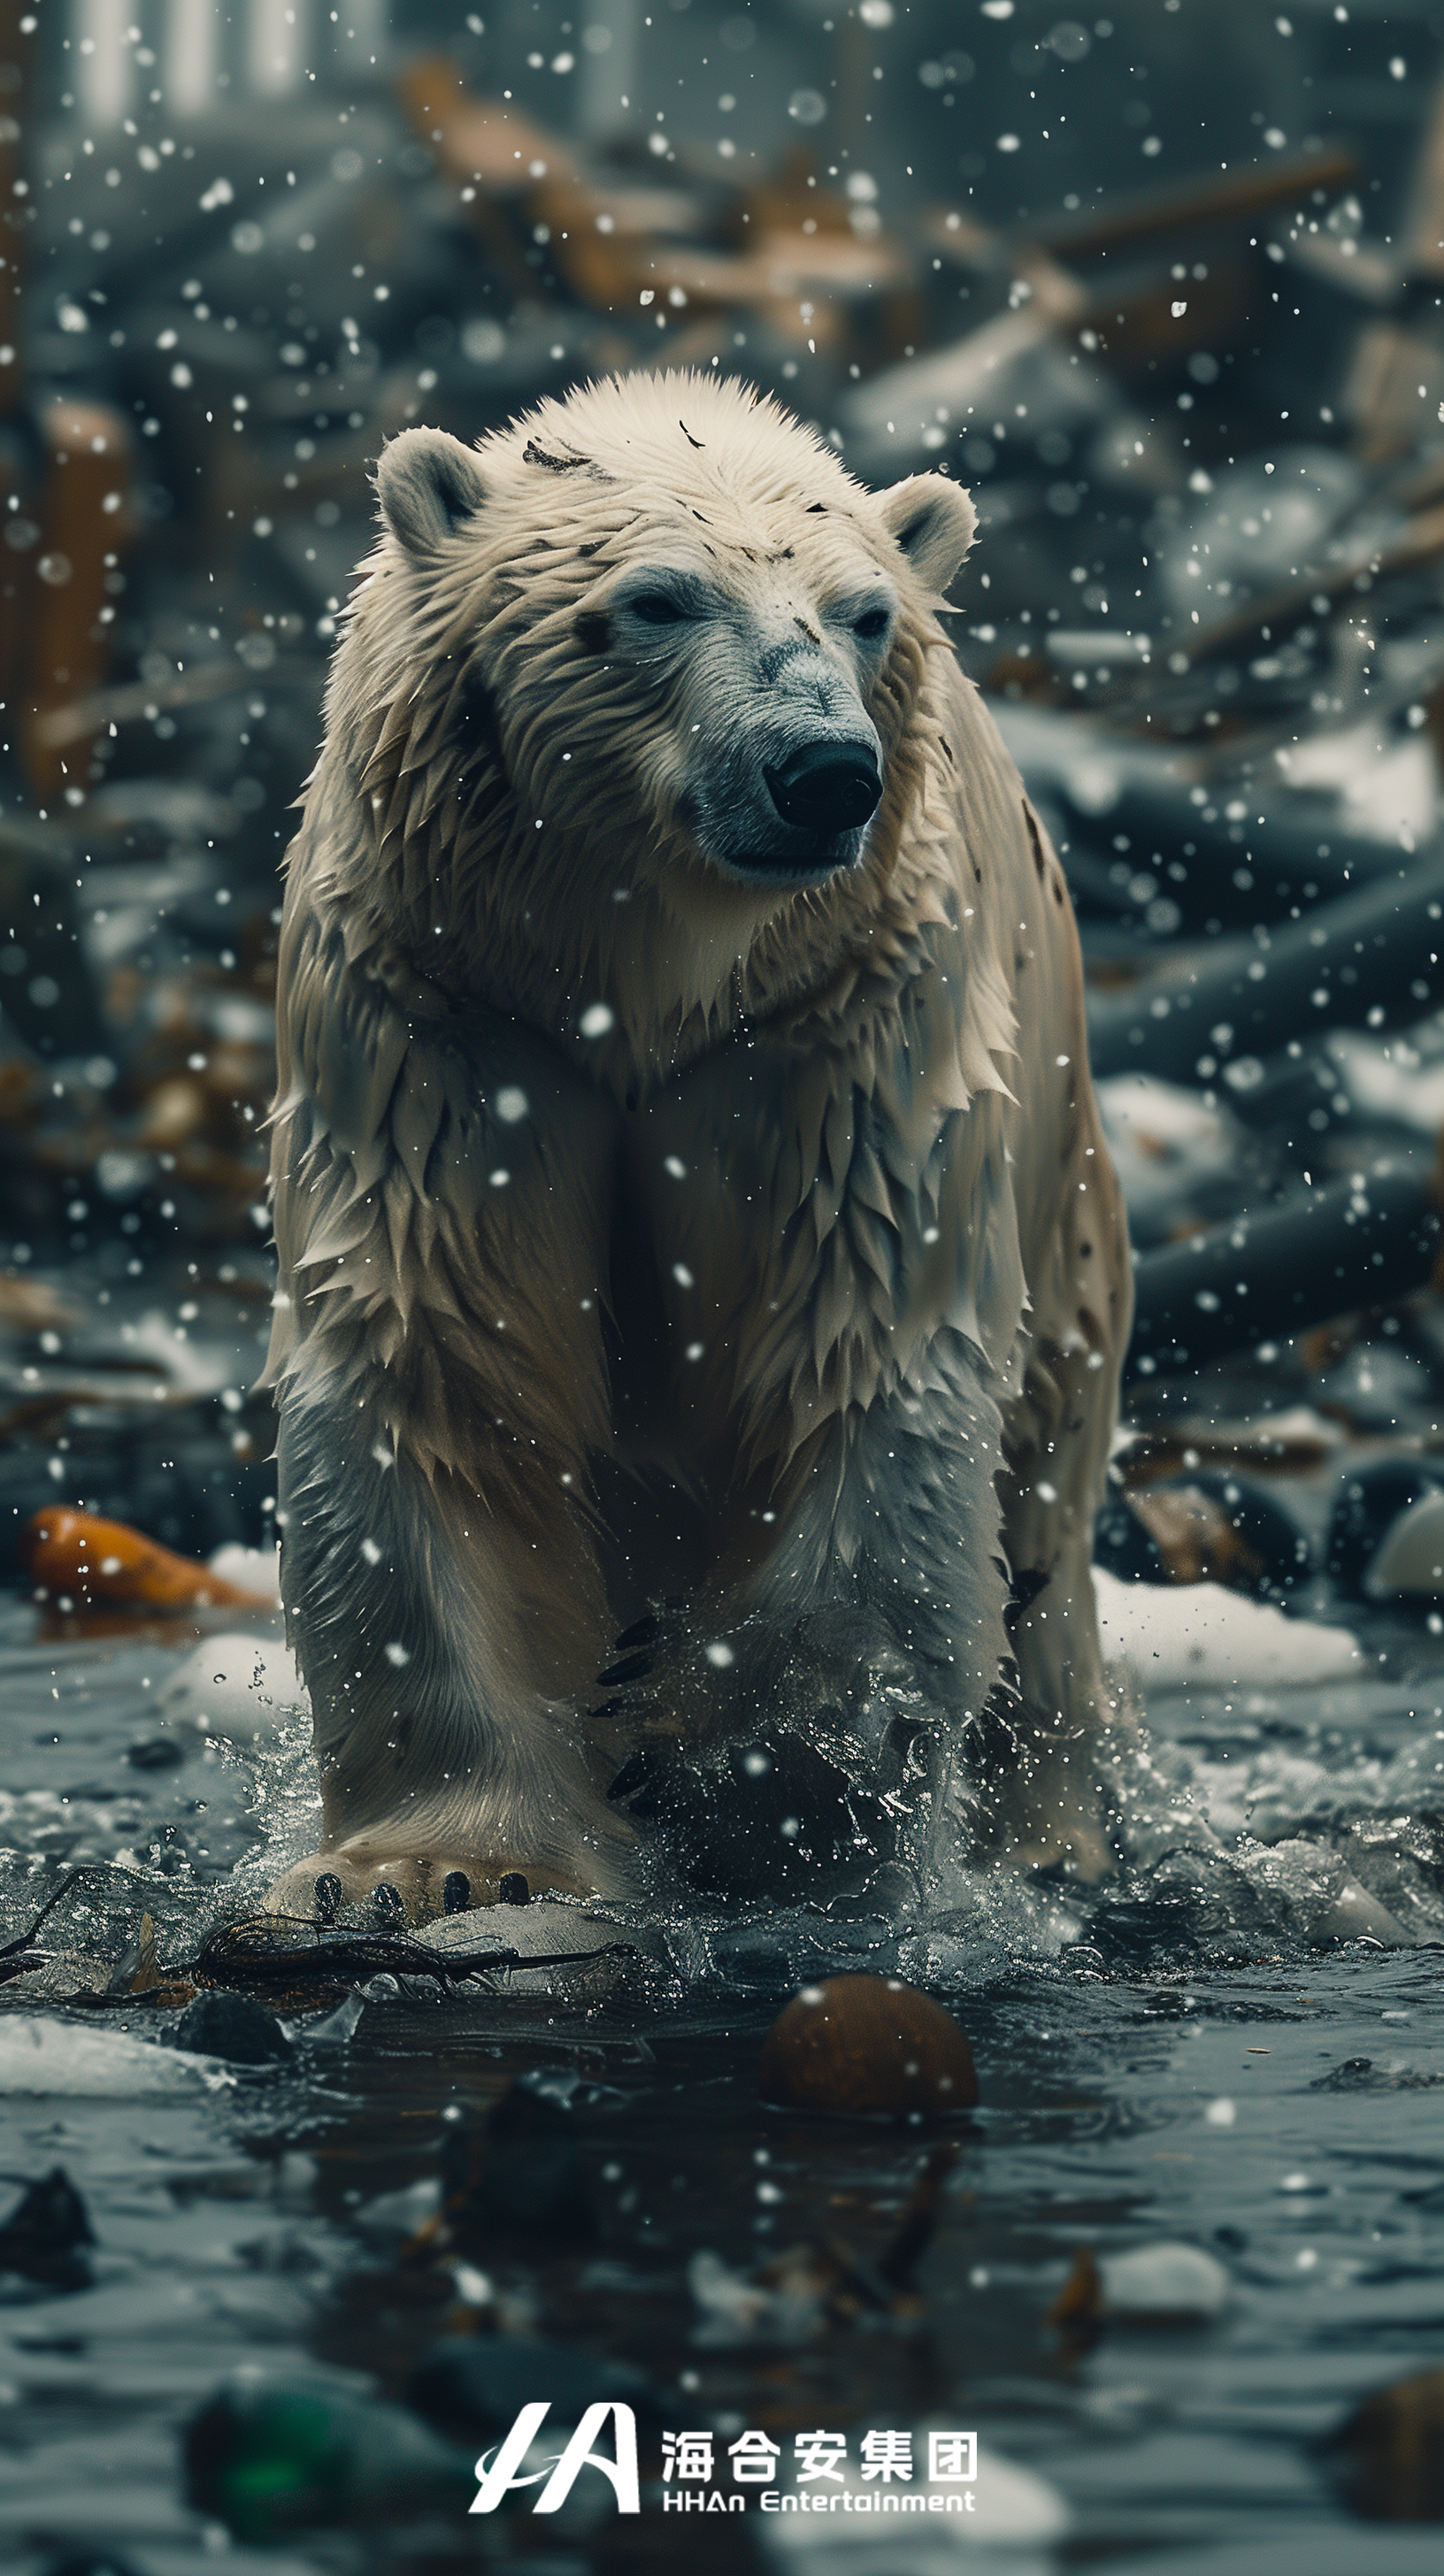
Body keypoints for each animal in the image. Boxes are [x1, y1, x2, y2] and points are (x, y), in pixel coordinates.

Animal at [262, 368, 1132, 1926]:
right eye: (658, 600)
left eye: (867, 614)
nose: (823, 774)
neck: (644, 984)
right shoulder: (444, 1016)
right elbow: (435, 1367)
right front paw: (426, 1865)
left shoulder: (841, 1030)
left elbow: (866, 1361)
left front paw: (724, 1772)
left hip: (1070, 1204)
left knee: (1038, 1521)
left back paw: (1049, 1838)